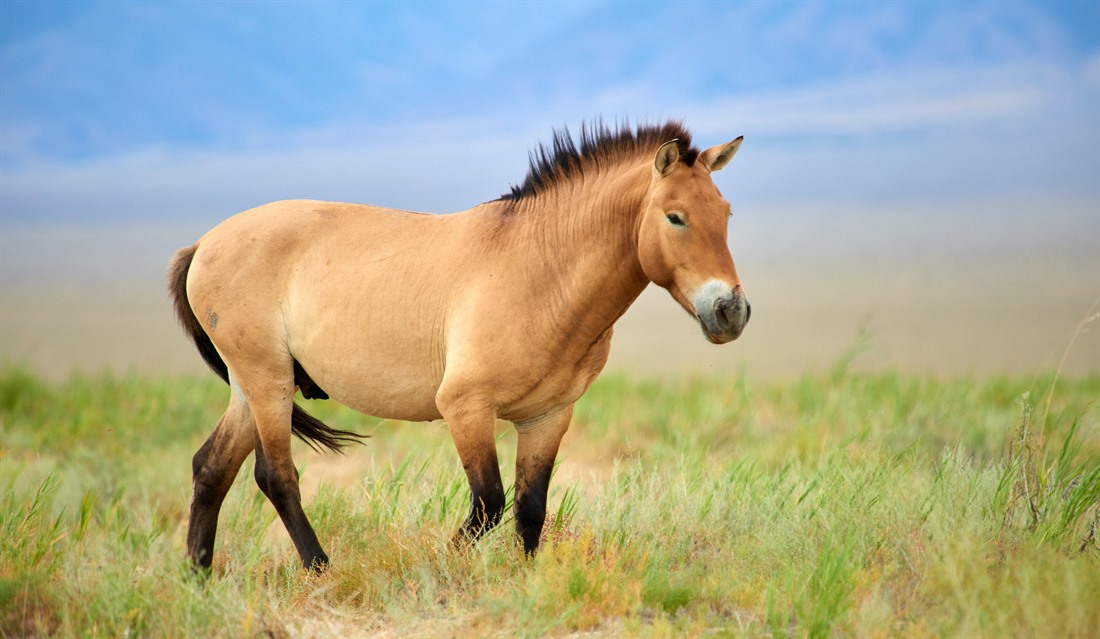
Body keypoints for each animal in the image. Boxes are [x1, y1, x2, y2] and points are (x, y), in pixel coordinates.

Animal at [167, 118, 752, 567]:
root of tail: (204, 243)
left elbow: (530, 509)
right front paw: (439, 568)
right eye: (674, 217)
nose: (731, 311)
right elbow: (489, 503)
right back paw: (319, 569)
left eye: (726, 213)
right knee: (276, 475)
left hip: (252, 387)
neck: (540, 270)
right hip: (268, 382)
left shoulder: (547, 417)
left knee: (211, 468)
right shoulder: (466, 408)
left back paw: (199, 576)